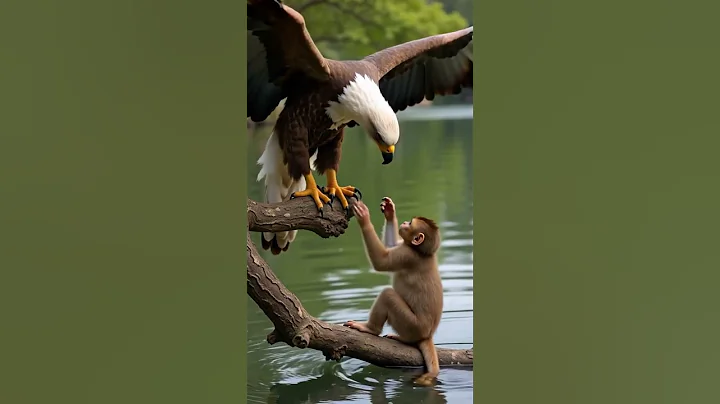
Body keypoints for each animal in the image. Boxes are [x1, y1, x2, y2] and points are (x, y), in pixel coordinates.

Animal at [343, 197, 443, 386]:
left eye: (410, 223)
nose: (404, 223)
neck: (421, 252)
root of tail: (428, 333)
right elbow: (390, 245)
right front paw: (390, 211)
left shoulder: (407, 255)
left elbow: (382, 261)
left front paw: (364, 218)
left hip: (412, 325)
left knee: (388, 295)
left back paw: (370, 329)